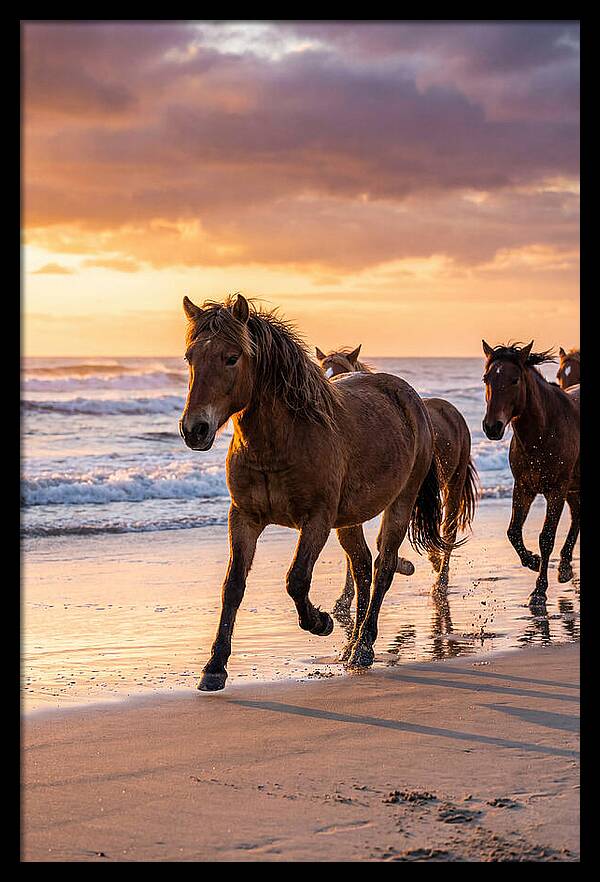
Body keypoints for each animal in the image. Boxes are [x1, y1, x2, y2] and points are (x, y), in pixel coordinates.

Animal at [179, 294, 449, 690]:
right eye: (190, 357)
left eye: (231, 357)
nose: (194, 429)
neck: (281, 441)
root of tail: (412, 400)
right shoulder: (244, 518)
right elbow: (233, 587)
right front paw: (214, 667)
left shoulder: (316, 520)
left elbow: (296, 579)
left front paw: (321, 622)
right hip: (349, 520)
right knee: (362, 567)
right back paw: (351, 646)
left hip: (399, 505)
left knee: (383, 567)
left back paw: (363, 647)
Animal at [316, 346, 478, 602]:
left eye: (342, 370)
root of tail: (452, 411)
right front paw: (345, 596)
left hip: (453, 484)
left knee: (449, 532)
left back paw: (440, 583)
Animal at [482, 340, 580, 605]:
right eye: (486, 379)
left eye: (515, 379)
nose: (492, 427)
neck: (544, 431)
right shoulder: (524, 487)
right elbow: (513, 532)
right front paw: (532, 561)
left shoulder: (556, 490)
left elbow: (546, 538)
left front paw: (539, 590)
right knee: (577, 515)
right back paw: (565, 567)